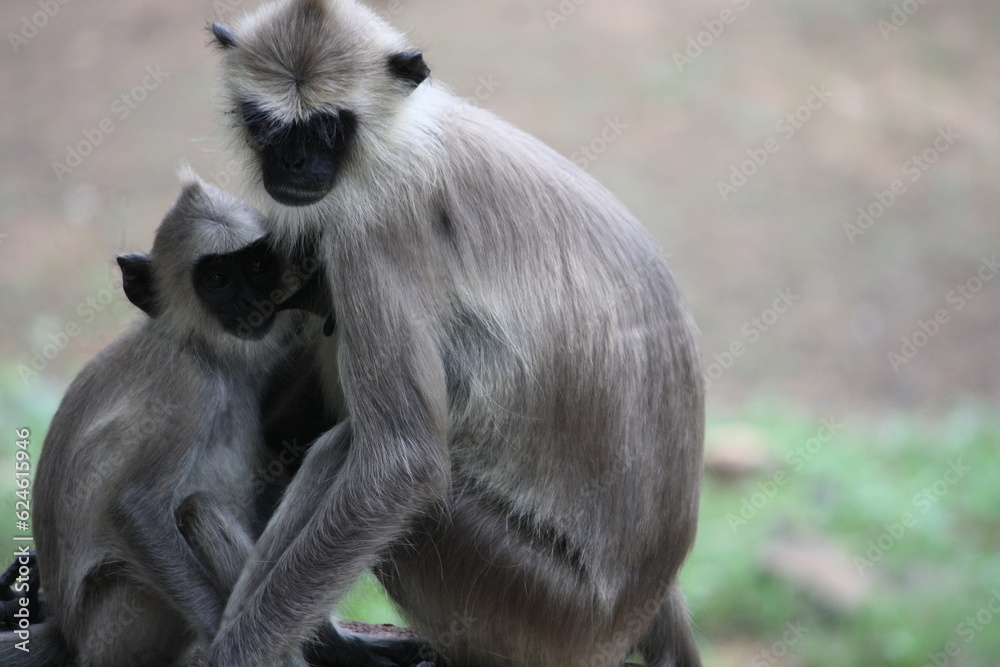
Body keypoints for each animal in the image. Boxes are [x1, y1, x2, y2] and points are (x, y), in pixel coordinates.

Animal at [0, 170, 346, 667]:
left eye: (257, 267)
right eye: (217, 279)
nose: (251, 302)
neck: (202, 351)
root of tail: (67, 635)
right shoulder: (187, 387)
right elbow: (135, 510)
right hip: (121, 619)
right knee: (194, 510)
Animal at [204, 1, 705, 666]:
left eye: (329, 129)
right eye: (268, 126)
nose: (294, 164)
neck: (402, 144)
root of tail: (638, 607)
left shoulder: (376, 228)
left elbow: (404, 465)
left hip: (539, 602)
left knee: (351, 449)